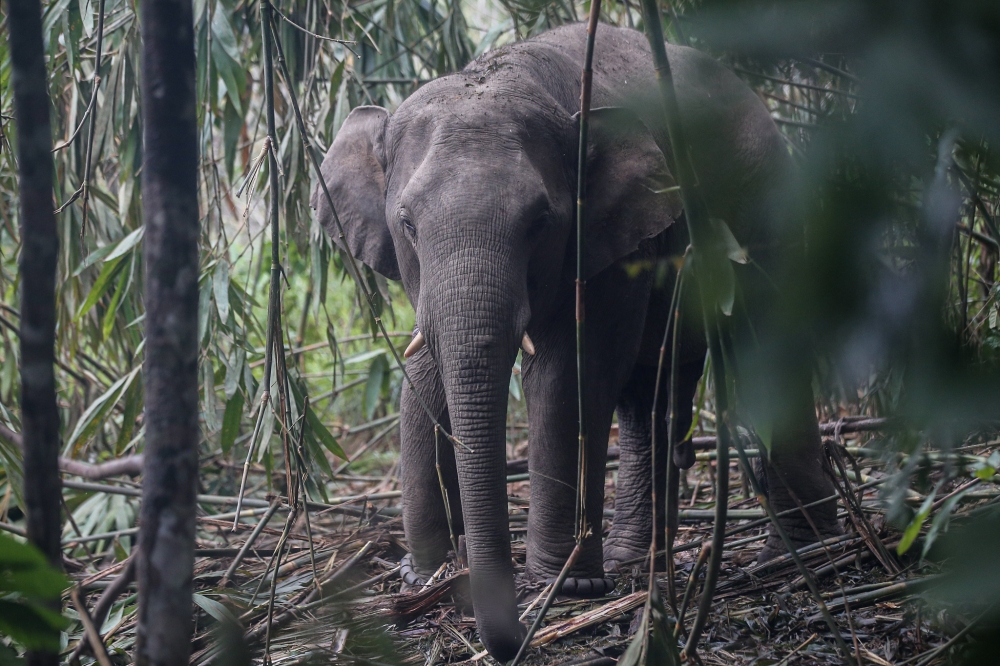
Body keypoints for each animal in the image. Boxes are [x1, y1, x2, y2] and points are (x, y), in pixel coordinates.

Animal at [312, 22, 840, 660]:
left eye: (540, 222)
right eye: (408, 224)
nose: (512, 639)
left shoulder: (612, 239)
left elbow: (570, 374)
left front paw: (565, 587)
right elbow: (426, 374)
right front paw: (423, 579)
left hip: (767, 204)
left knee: (765, 343)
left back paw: (800, 554)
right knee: (654, 388)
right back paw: (640, 563)